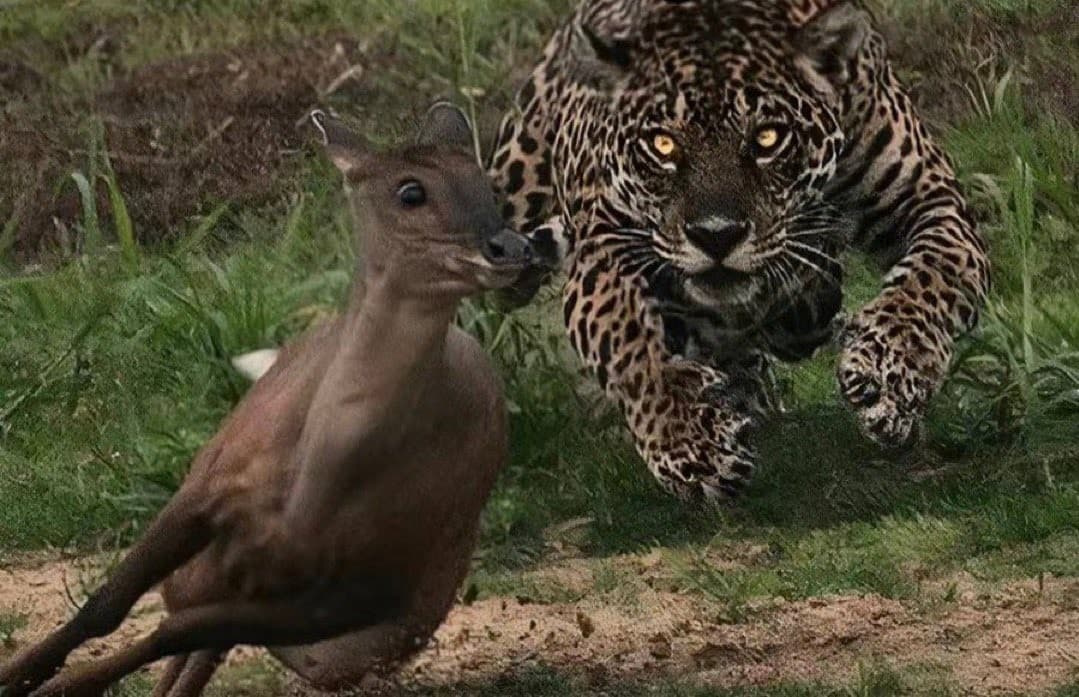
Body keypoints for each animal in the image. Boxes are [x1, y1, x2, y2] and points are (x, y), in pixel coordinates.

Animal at [0, 103, 533, 697]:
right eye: (410, 191)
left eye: (486, 185)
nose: (512, 247)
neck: (310, 488)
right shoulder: (208, 485)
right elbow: (106, 608)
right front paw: (19, 676)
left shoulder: (356, 592)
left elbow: (171, 633)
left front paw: (59, 686)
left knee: (194, 644)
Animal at [486, 0, 990, 502]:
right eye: (662, 144)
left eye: (767, 138)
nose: (716, 235)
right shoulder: (603, 249)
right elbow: (627, 340)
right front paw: (689, 438)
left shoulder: (928, 195)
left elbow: (935, 278)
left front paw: (888, 376)